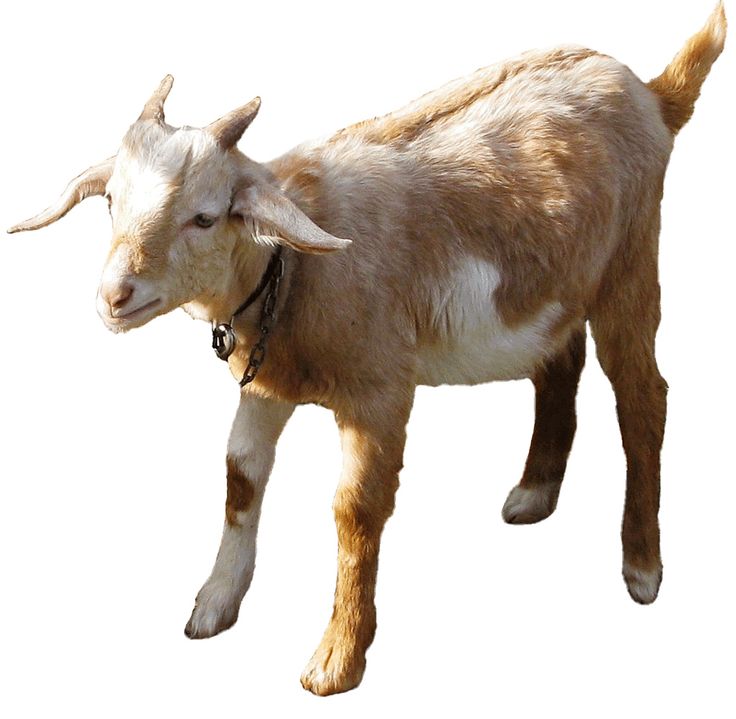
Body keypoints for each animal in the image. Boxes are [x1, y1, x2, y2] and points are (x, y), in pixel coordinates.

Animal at [7, 3, 726, 696]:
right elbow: (241, 475)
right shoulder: (267, 380)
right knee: (560, 363)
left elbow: (354, 509)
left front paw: (336, 659)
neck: (291, 265)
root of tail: (652, 93)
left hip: (629, 265)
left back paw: (642, 564)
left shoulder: (379, 391)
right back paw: (534, 490)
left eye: (205, 216)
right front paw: (213, 604)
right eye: (110, 202)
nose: (114, 296)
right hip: (555, 286)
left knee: (644, 397)